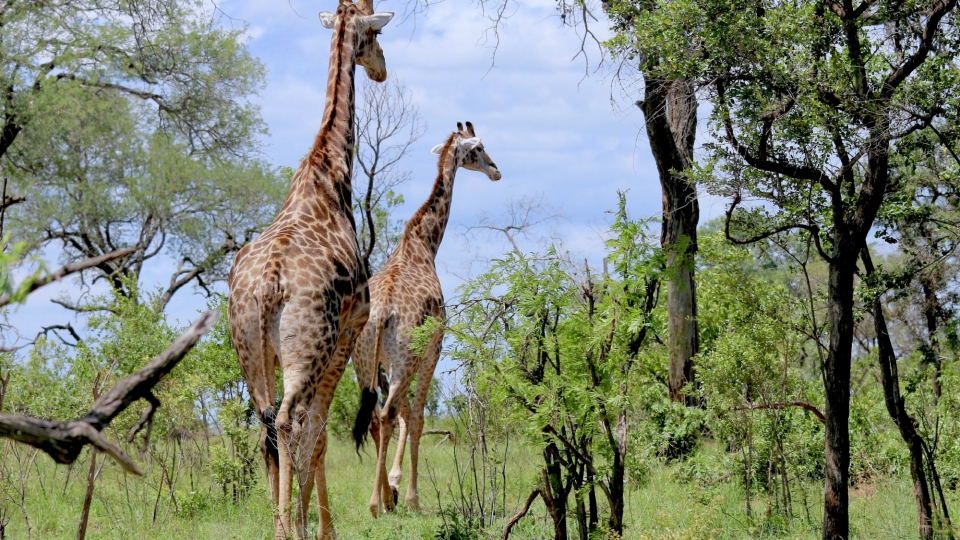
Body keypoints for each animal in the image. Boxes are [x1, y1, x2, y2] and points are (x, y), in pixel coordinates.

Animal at [229, 2, 394, 536]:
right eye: (374, 37)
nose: (381, 70)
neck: (330, 169)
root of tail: (267, 285)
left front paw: (307, 521)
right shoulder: (350, 329)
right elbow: (320, 435)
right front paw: (322, 527)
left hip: (251, 352)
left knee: (264, 424)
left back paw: (279, 525)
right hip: (311, 347)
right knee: (289, 422)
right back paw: (289, 527)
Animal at [352, 121, 502, 516]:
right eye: (478, 147)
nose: (496, 170)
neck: (423, 242)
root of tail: (381, 313)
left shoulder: (390, 362)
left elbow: (406, 414)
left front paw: (394, 485)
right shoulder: (433, 348)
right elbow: (417, 416)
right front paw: (411, 497)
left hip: (363, 359)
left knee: (376, 416)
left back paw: (382, 498)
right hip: (404, 358)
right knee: (389, 414)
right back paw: (377, 502)